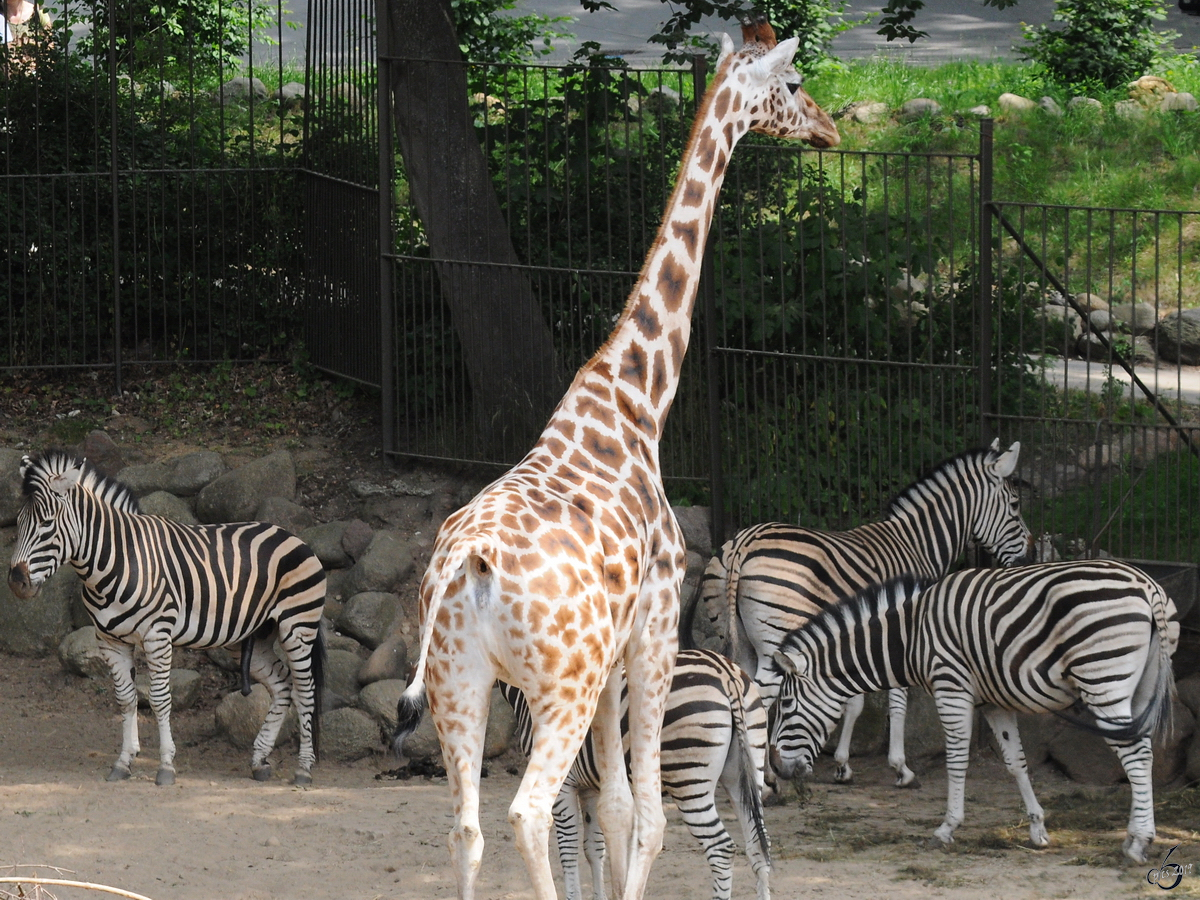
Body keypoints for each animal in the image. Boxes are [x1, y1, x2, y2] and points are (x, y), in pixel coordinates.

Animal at [7, 453, 326, 787]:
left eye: (46, 523)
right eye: (20, 522)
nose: (16, 582)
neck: (119, 560)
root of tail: (289, 534)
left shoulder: (156, 635)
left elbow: (159, 699)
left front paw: (165, 766)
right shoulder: (110, 642)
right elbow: (126, 699)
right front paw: (123, 762)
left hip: (297, 627)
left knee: (306, 692)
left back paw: (303, 769)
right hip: (252, 638)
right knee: (282, 685)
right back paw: (259, 760)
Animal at [496, 652, 768, 900]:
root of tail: (725, 673)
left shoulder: (563, 784)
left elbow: (569, 848)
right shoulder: (591, 787)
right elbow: (594, 847)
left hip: (689, 779)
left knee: (721, 849)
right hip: (747, 773)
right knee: (758, 847)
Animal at [681, 439, 1036, 787]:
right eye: (1015, 506)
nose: (1030, 556)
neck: (917, 544)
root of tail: (744, 541)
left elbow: (854, 701)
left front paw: (842, 764)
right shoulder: (901, 624)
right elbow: (896, 701)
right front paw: (901, 768)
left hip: (737, 635)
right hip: (776, 636)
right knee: (761, 693)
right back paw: (766, 777)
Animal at [763, 564, 1176, 868]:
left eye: (786, 705)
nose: (778, 769)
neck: (910, 637)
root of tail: (1147, 586)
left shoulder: (952, 689)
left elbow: (957, 761)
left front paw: (947, 827)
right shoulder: (993, 703)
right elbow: (1016, 763)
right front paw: (1037, 829)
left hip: (1103, 678)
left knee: (1136, 756)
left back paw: (1138, 843)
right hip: (1136, 687)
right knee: (1144, 753)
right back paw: (1134, 834)